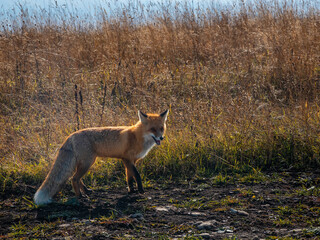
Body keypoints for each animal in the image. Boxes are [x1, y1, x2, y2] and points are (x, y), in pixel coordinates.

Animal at [34, 109, 170, 205]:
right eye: (152, 129)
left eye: (161, 128)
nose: (161, 138)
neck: (137, 137)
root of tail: (71, 135)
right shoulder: (127, 159)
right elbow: (137, 175)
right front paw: (141, 190)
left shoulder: (131, 161)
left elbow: (129, 178)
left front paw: (131, 191)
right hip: (88, 163)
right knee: (74, 179)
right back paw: (80, 196)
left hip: (84, 163)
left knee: (76, 178)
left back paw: (86, 191)